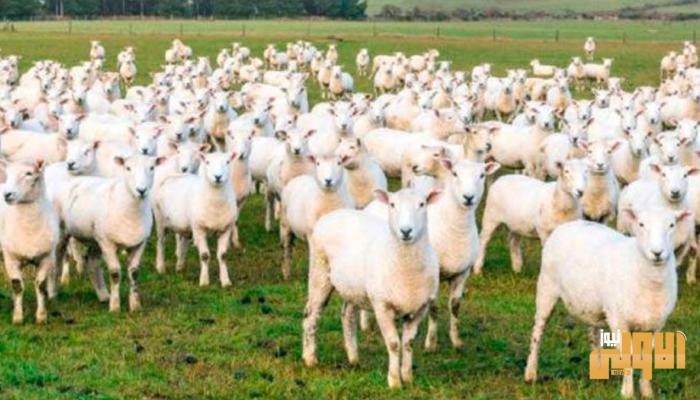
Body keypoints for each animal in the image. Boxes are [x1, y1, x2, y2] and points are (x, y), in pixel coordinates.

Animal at [0, 159, 59, 324]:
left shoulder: (46, 257)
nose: (7, 194)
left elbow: (41, 286)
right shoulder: (11, 258)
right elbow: (17, 286)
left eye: (29, 173)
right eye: (7, 173)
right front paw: (18, 317)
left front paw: (41, 316)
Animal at [57, 155, 164, 312]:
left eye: (152, 168)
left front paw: (135, 306)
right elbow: (115, 274)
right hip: (65, 234)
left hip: (96, 239)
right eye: (127, 168)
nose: (141, 190)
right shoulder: (108, 243)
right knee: (60, 258)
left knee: (92, 261)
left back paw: (103, 295)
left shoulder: (139, 243)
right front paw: (114, 307)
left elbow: (134, 273)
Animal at [152, 151, 238, 287]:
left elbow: (223, 256)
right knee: (161, 243)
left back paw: (180, 267)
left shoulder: (225, 229)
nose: (218, 177)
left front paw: (225, 281)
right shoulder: (199, 229)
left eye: (228, 162)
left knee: (183, 242)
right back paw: (161, 268)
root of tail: (173, 176)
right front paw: (204, 282)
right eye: (207, 162)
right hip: (160, 219)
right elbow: (204, 256)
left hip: (185, 226)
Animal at [303, 188, 441, 388]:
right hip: (319, 271)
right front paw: (394, 382)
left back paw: (353, 358)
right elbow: (394, 344)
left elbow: (408, 343)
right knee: (311, 315)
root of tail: (333, 214)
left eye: (422, 204)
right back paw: (310, 359)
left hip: (353, 287)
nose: (406, 231)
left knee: (347, 315)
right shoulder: (382, 306)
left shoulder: (419, 308)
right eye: (392, 204)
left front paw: (408, 378)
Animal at [524, 207, 687, 398]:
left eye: (672, 225)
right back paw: (530, 373)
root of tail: (571, 224)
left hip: (591, 304)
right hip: (546, 287)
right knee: (538, 331)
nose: (657, 252)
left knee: (593, 334)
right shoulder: (619, 320)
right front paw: (627, 393)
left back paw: (598, 371)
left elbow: (647, 358)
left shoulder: (656, 325)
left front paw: (647, 392)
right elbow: (628, 357)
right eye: (641, 224)